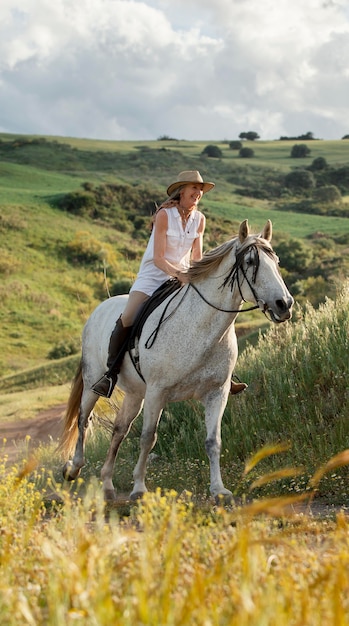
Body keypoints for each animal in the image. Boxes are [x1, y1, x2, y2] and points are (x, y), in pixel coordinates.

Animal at [58, 218, 292, 498]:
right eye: (249, 262)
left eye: (276, 261)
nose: (284, 304)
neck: (200, 329)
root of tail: (98, 310)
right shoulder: (157, 392)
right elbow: (148, 437)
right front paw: (139, 488)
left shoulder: (217, 393)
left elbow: (213, 441)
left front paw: (218, 489)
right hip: (94, 381)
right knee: (84, 419)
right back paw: (73, 468)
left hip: (135, 394)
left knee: (119, 430)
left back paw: (107, 485)